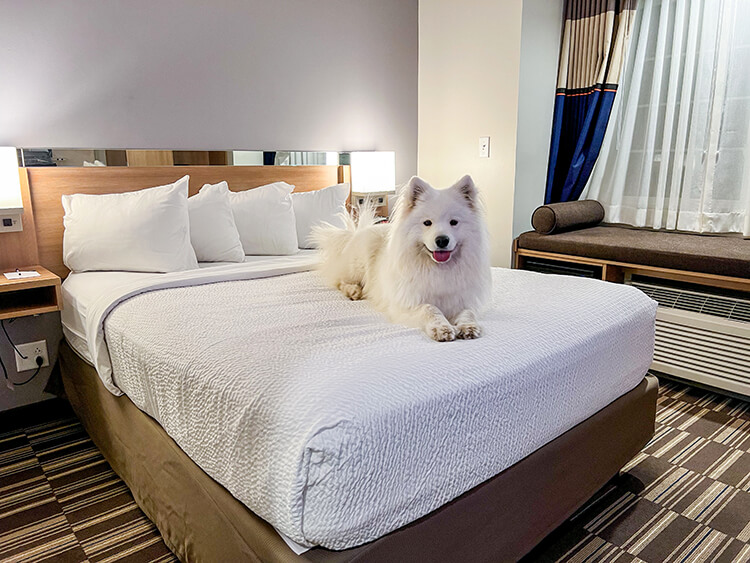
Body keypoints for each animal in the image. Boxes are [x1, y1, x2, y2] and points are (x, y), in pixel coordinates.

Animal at [312, 176, 494, 342]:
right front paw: (441, 328)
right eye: (427, 223)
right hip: (357, 265)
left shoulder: (463, 300)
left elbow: (468, 312)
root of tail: (355, 232)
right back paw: (354, 291)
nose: (442, 240)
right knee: (339, 281)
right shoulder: (406, 305)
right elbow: (430, 309)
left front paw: (468, 326)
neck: (437, 268)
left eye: (454, 222)